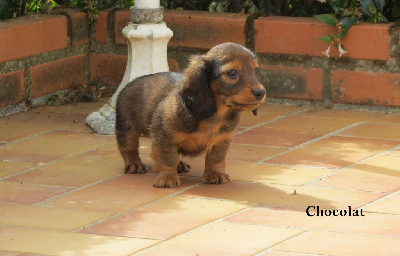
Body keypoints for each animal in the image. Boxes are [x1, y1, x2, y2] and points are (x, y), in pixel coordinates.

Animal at [115, 42, 266, 188]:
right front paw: (167, 177)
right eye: (232, 72)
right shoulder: (164, 136)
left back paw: (180, 164)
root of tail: (133, 82)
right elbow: (168, 158)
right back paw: (134, 164)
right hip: (127, 128)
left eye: (256, 70)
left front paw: (216, 174)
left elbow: (216, 158)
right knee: (129, 148)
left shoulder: (222, 139)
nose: (261, 92)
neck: (214, 114)